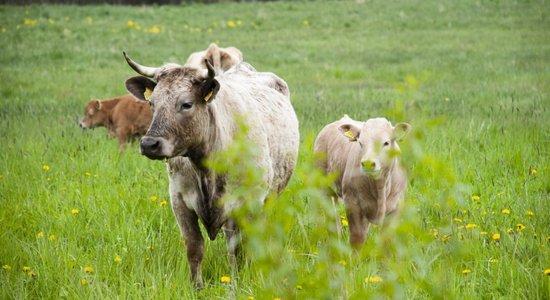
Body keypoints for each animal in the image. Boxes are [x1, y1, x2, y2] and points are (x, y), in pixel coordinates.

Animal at [123, 50, 300, 290]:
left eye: (186, 104)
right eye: (151, 103)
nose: (149, 144)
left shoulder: (248, 203)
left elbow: (239, 250)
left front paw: (237, 283)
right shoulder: (179, 201)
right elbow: (194, 246)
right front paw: (196, 287)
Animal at [314, 116, 414, 250]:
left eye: (386, 143)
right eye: (360, 143)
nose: (367, 163)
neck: (380, 186)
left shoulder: (395, 207)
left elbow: (386, 241)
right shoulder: (352, 204)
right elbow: (357, 239)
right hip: (325, 188)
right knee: (332, 220)